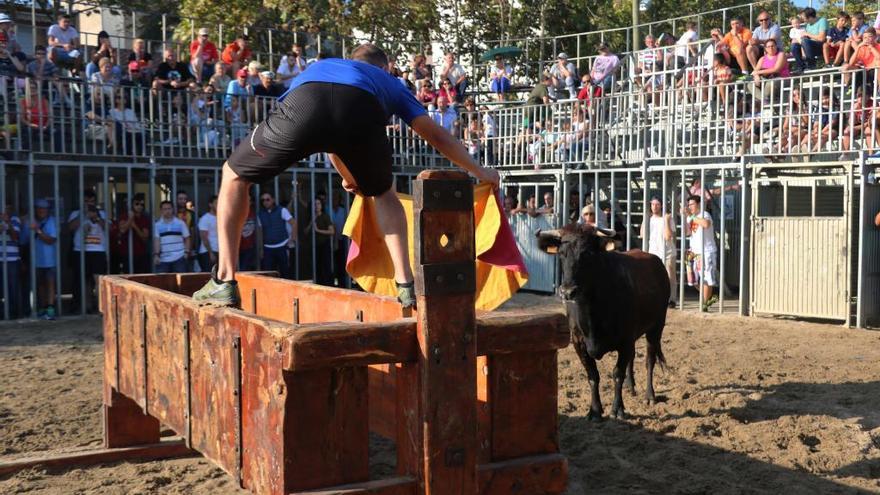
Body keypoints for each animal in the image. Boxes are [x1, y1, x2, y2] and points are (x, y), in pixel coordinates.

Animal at [532, 227, 672, 420]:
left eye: (587, 254)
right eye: (561, 253)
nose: (567, 291)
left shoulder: (625, 340)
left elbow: (617, 374)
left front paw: (617, 409)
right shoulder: (578, 342)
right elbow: (593, 375)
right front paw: (595, 411)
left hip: (656, 327)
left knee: (649, 360)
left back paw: (649, 396)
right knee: (633, 357)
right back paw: (631, 386)